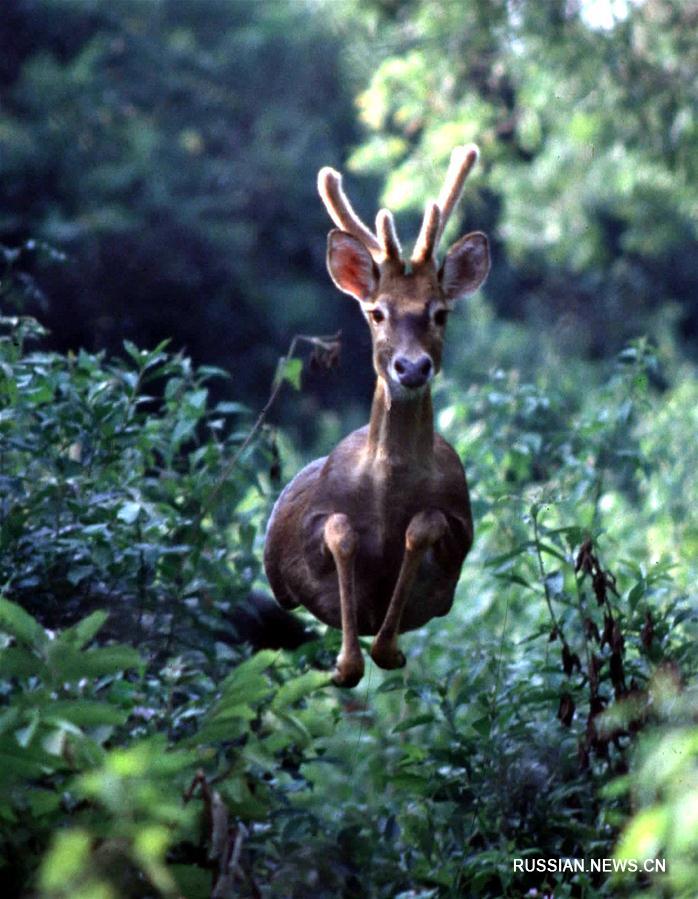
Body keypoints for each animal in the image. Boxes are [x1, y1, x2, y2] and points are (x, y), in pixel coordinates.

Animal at [262, 144, 490, 684]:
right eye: (377, 312)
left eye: (440, 312)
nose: (411, 366)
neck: (388, 495)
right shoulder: (310, 531)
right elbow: (340, 531)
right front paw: (346, 664)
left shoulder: (460, 530)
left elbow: (426, 524)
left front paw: (387, 650)